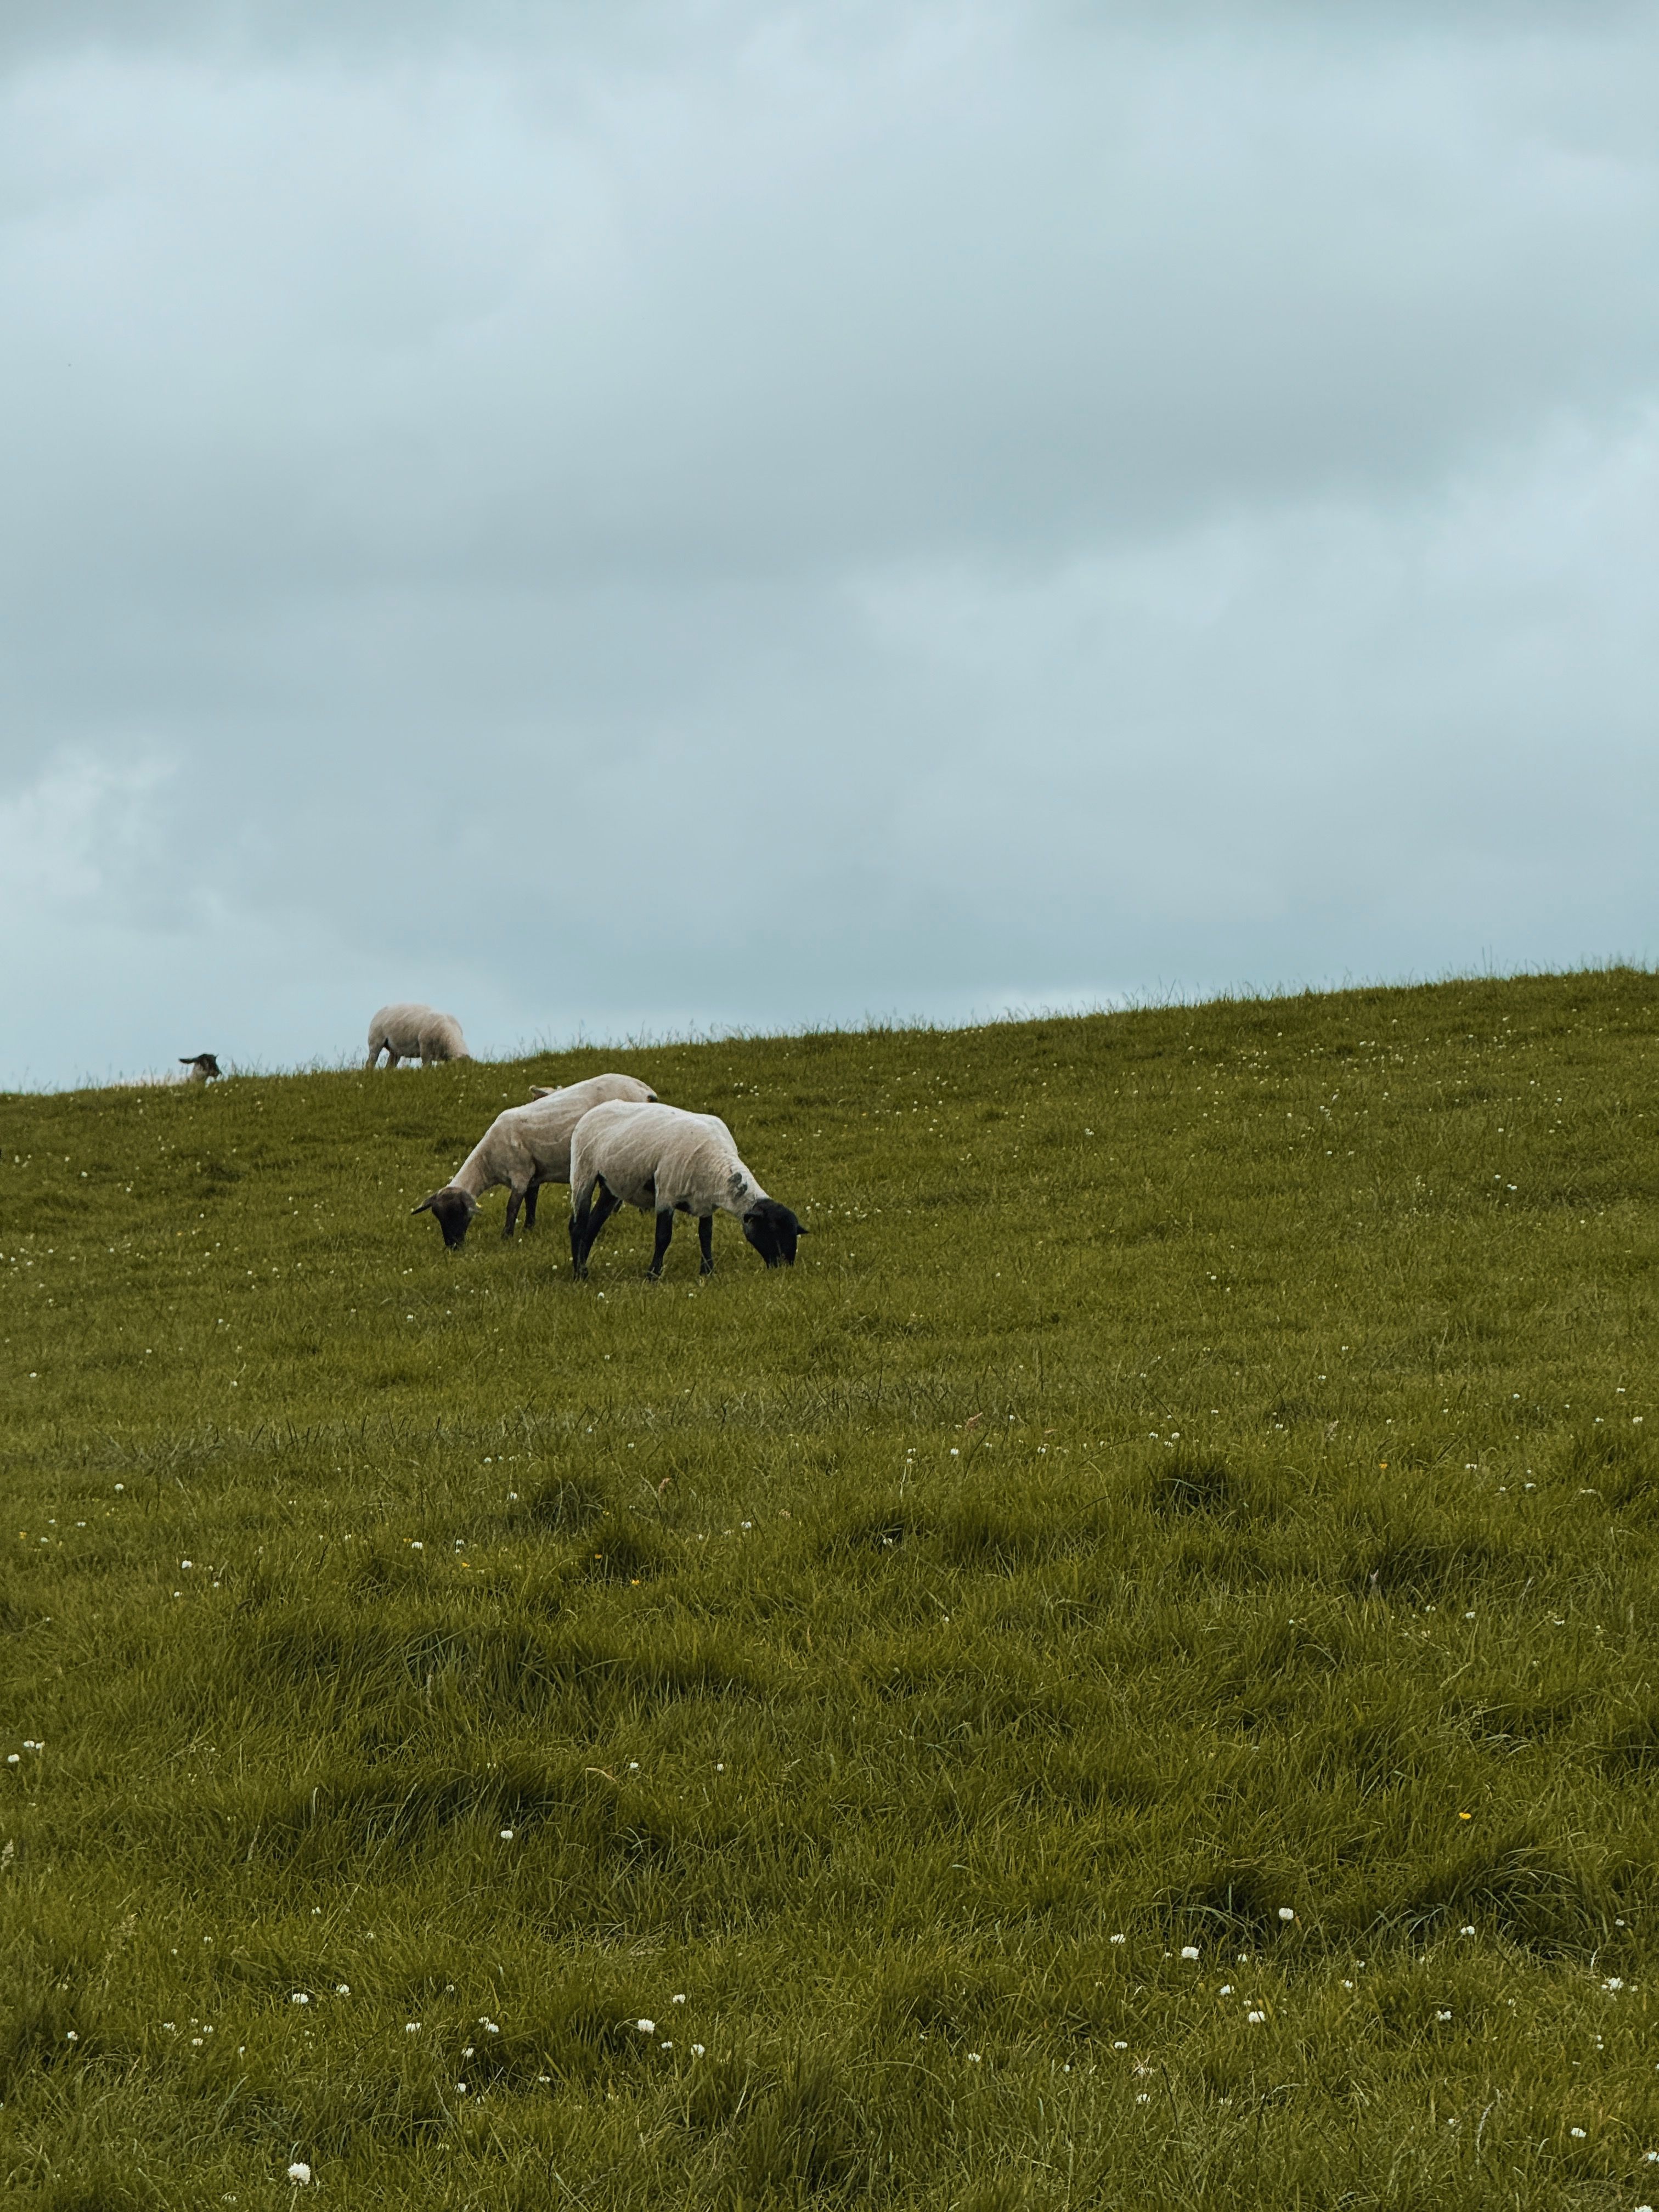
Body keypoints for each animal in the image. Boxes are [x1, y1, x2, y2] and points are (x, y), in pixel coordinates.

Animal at [366, 1003, 470, 1068]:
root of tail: (381, 1011)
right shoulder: (425, 1050)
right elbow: (427, 1067)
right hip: (376, 1041)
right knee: (370, 1062)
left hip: (395, 1050)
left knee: (389, 1066)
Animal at [411, 1072, 657, 1248]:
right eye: (438, 1216)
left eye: (457, 1213)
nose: (453, 1247)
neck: (487, 1163)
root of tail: (645, 1090)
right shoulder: (533, 1175)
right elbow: (531, 1203)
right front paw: (529, 1230)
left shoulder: (520, 1174)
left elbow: (512, 1207)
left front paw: (507, 1237)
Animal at [568, 1100, 806, 1279]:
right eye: (772, 1229)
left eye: (793, 1232)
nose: (785, 1267)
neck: (716, 1162)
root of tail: (596, 1109)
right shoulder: (666, 1193)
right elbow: (663, 1237)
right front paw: (652, 1276)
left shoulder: (706, 1203)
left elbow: (706, 1236)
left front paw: (708, 1272)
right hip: (583, 1172)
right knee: (578, 1225)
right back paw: (579, 1274)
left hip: (611, 1185)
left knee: (594, 1224)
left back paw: (585, 1268)